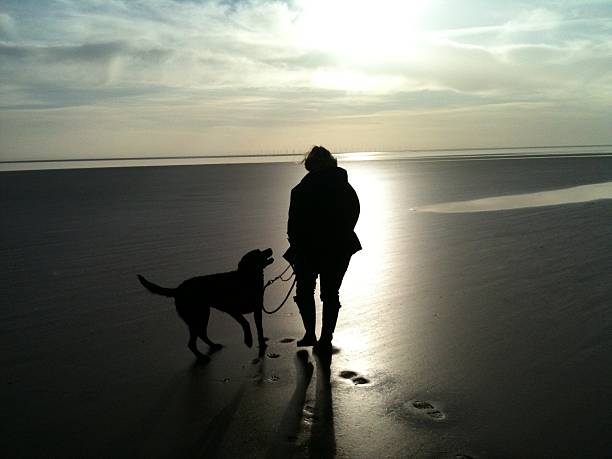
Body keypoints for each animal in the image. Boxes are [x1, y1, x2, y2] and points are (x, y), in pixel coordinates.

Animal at [139, 250, 274, 362]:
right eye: (258, 253)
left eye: (260, 250)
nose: (269, 249)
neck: (247, 278)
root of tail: (177, 290)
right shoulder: (232, 309)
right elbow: (245, 323)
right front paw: (248, 340)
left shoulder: (257, 310)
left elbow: (260, 328)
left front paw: (262, 343)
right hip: (196, 317)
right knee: (192, 342)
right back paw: (201, 357)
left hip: (203, 314)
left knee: (202, 334)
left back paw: (213, 346)